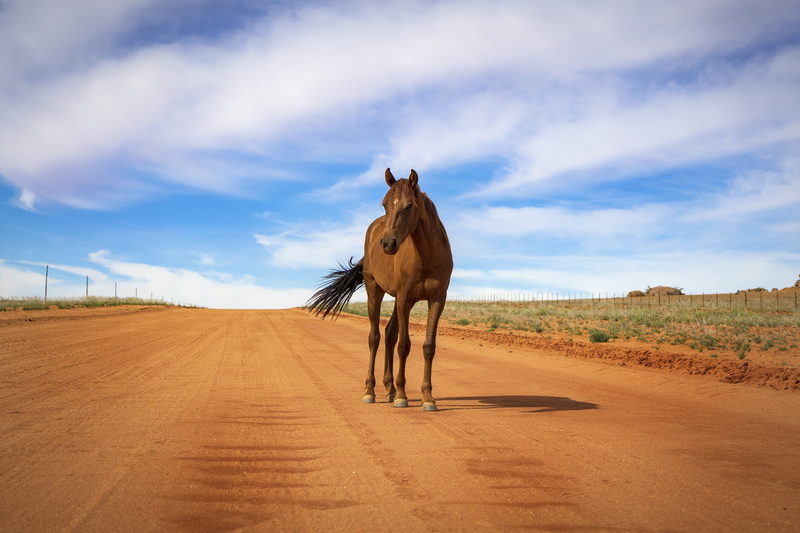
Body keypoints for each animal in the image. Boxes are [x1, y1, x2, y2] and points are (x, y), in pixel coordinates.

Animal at [308, 168, 453, 411]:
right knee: (374, 337)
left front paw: (427, 397)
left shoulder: (436, 299)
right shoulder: (404, 298)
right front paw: (403, 396)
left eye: (409, 205)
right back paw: (371, 391)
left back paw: (390, 388)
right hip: (375, 289)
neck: (427, 256)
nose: (387, 244)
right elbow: (404, 345)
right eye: (385, 204)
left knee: (389, 334)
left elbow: (428, 346)